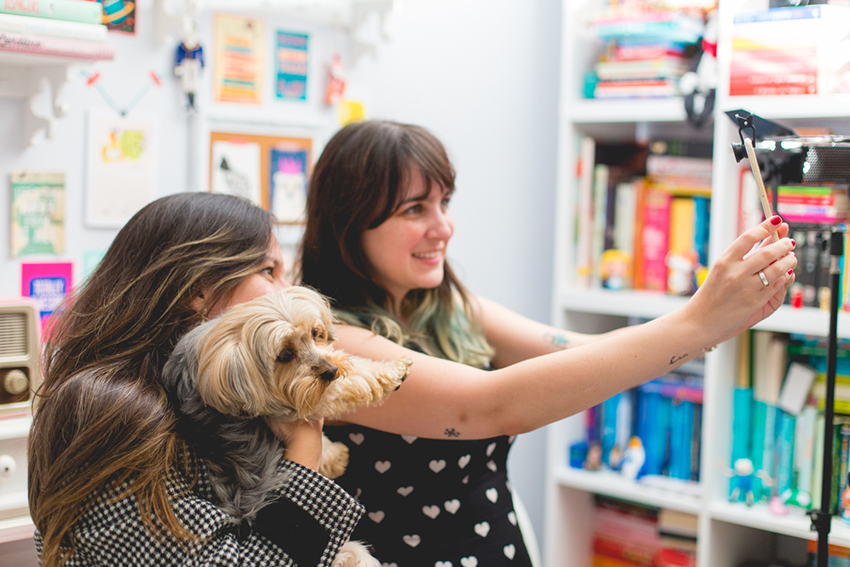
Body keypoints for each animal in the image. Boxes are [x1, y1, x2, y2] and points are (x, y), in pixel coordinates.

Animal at [162, 288, 410, 567]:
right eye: (285, 355)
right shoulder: (294, 402)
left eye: (315, 333)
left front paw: (332, 456)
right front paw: (392, 371)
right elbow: (348, 384)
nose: (332, 370)